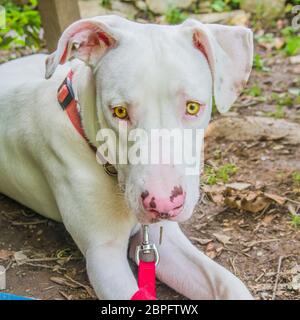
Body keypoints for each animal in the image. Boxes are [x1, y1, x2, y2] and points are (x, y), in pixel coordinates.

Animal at [0, 15, 253, 300]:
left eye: (192, 107)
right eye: (119, 111)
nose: (163, 203)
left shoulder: (165, 240)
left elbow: (228, 282)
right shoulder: (103, 254)